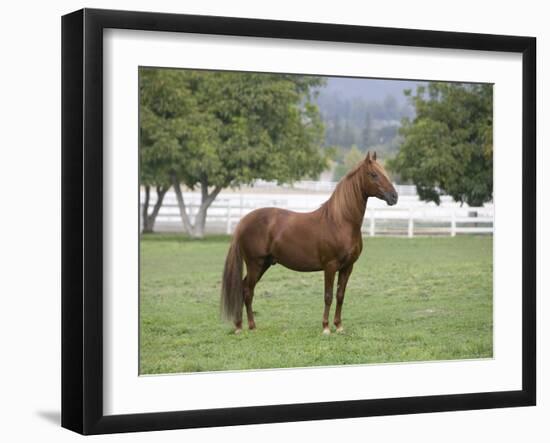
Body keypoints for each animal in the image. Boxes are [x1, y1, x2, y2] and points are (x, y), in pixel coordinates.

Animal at [222, 152, 398, 332]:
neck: (340, 222)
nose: (394, 197)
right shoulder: (330, 266)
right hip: (255, 264)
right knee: (247, 291)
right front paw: (326, 327)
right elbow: (328, 296)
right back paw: (247, 326)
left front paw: (339, 326)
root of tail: (244, 221)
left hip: (264, 264)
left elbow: (340, 295)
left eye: (385, 172)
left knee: (244, 288)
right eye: (373, 174)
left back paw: (242, 325)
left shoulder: (347, 267)